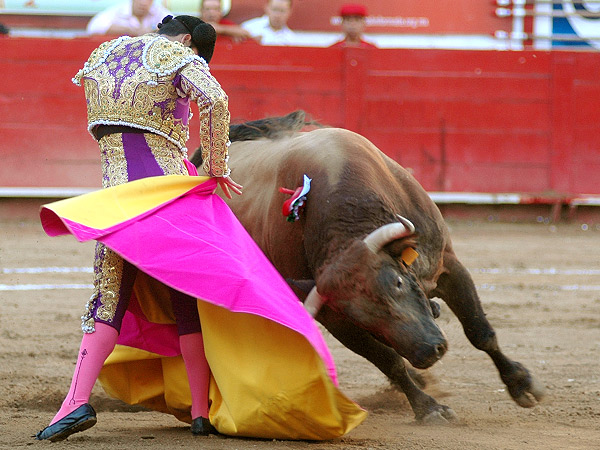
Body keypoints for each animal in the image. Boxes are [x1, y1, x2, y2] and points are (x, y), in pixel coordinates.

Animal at [191, 111, 544, 422]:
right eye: (359, 315)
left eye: (397, 283)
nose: (430, 351)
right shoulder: (335, 318)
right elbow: (388, 360)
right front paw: (428, 407)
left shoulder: (447, 265)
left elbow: (479, 332)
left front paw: (522, 384)